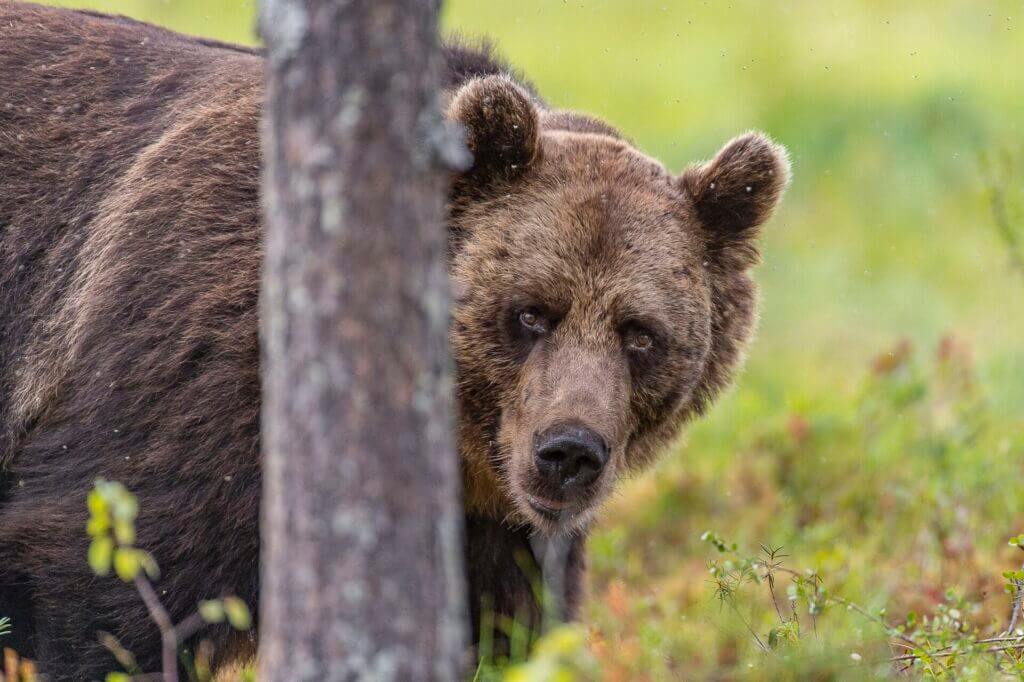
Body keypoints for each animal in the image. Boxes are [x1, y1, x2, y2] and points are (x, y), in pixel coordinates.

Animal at [0, 2, 790, 675]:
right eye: (531, 312)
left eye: (640, 333)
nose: (569, 452)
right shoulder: (193, 374)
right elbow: (106, 585)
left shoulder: (498, 535)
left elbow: (511, 629)